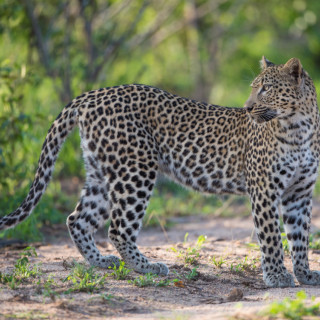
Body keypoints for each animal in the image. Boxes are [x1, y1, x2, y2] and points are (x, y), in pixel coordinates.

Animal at [0, 56, 320, 288]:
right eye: (254, 87)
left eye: (266, 88)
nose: (248, 107)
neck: (298, 128)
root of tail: (93, 94)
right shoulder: (265, 189)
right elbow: (271, 237)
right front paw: (277, 277)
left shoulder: (299, 194)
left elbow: (300, 237)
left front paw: (304, 274)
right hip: (135, 170)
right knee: (118, 228)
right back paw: (147, 267)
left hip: (102, 173)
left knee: (77, 219)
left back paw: (102, 262)